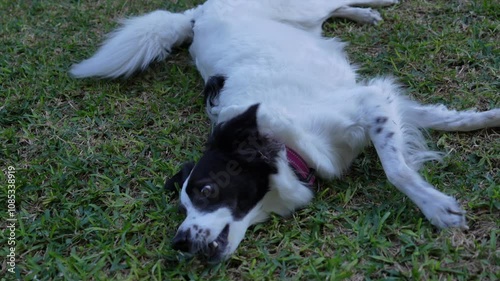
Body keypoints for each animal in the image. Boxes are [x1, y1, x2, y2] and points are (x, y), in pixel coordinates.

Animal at [71, 0, 500, 262]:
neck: (286, 146)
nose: (179, 243)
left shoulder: (368, 101)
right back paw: (363, 15)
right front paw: (489, 118)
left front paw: (437, 207)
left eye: (206, 191)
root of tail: (197, 12)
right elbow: (441, 119)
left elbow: (397, 169)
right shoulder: (380, 101)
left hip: (301, 7)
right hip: (304, 19)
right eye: (182, 208)